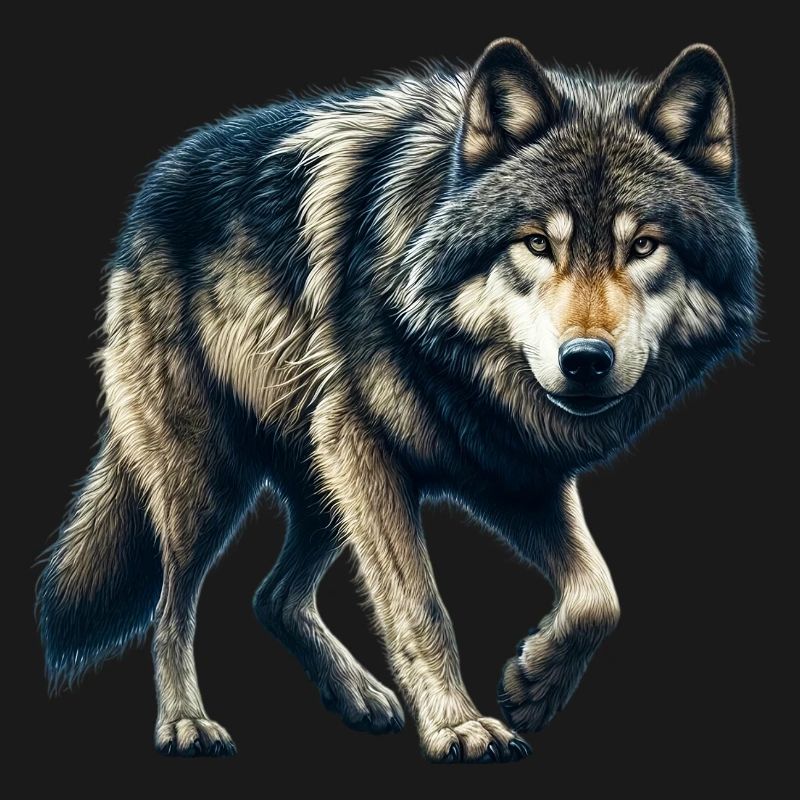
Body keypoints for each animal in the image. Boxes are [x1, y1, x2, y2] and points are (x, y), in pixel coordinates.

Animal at [36, 38, 758, 762]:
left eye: (644, 246)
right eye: (535, 243)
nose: (584, 362)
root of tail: (153, 184)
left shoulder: (513, 472)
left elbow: (599, 596)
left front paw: (535, 685)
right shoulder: (367, 447)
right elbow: (420, 605)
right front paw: (459, 726)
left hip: (323, 481)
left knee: (272, 597)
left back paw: (355, 694)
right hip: (213, 481)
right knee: (171, 606)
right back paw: (186, 723)